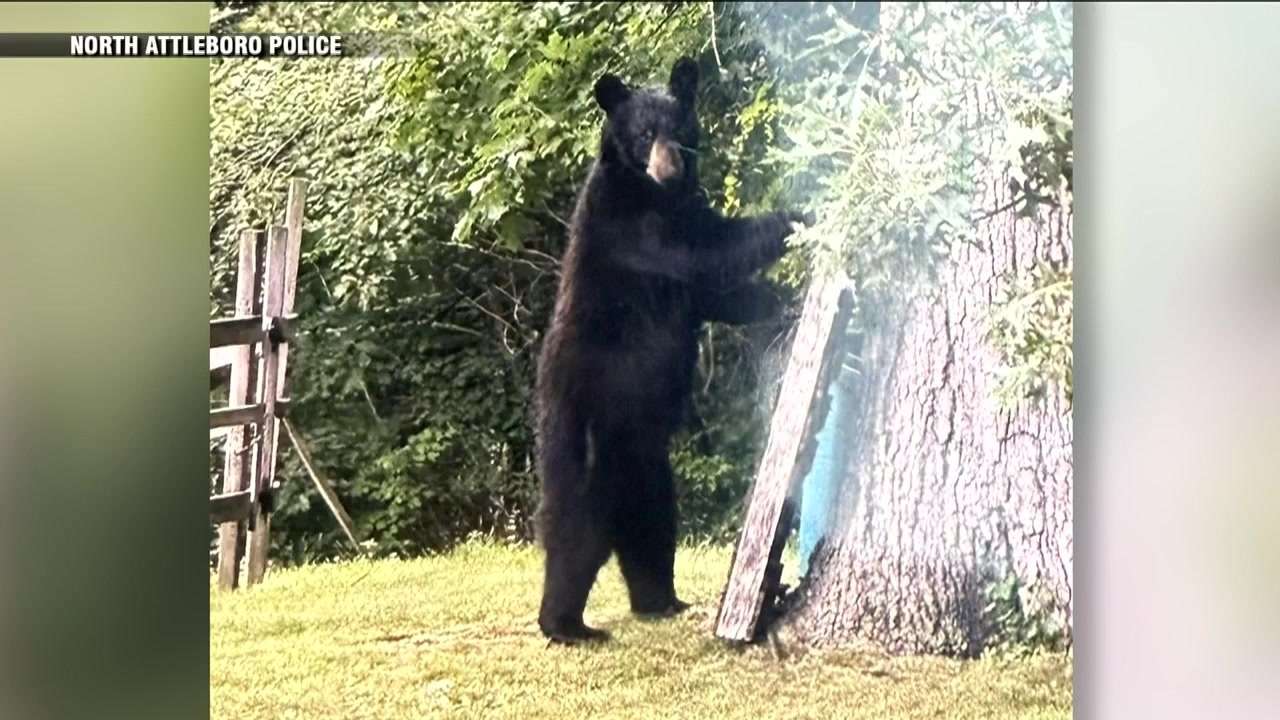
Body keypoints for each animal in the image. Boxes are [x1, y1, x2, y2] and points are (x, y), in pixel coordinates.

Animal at [532, 56, 810, 645]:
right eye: (643, 134)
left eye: (677, 128)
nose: (670, 169)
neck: (654, 195)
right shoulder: (637, 231)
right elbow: (710, 252)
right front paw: (797, 216)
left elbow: (717, 291)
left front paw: (778, 298)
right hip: (588, 435)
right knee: (575, 532)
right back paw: (567, 624)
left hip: (649, 470)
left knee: (652, 531)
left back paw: (661, 600)